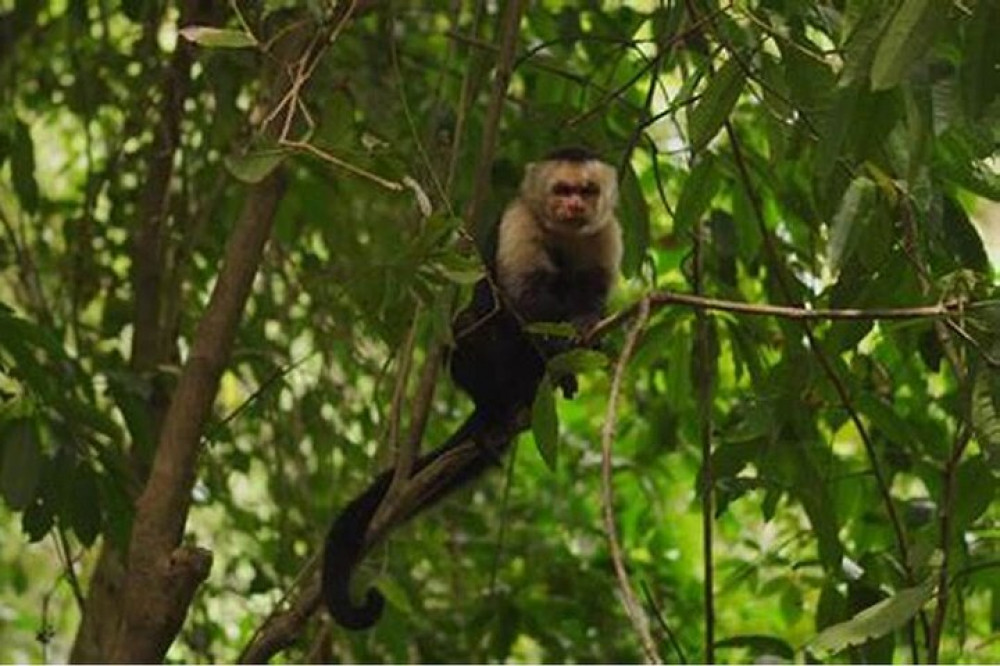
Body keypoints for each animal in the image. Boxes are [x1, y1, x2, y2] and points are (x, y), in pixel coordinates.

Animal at [322, 145, 616, 628]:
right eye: (561, 189)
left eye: (587, 191)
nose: (574, 206)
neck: (563, 232)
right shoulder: (518, 220)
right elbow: (523, 297)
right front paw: (560, 343)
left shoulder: (605, 232)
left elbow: (593, 293)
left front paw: (587, 326)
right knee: (470, 323)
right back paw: (493, 414)